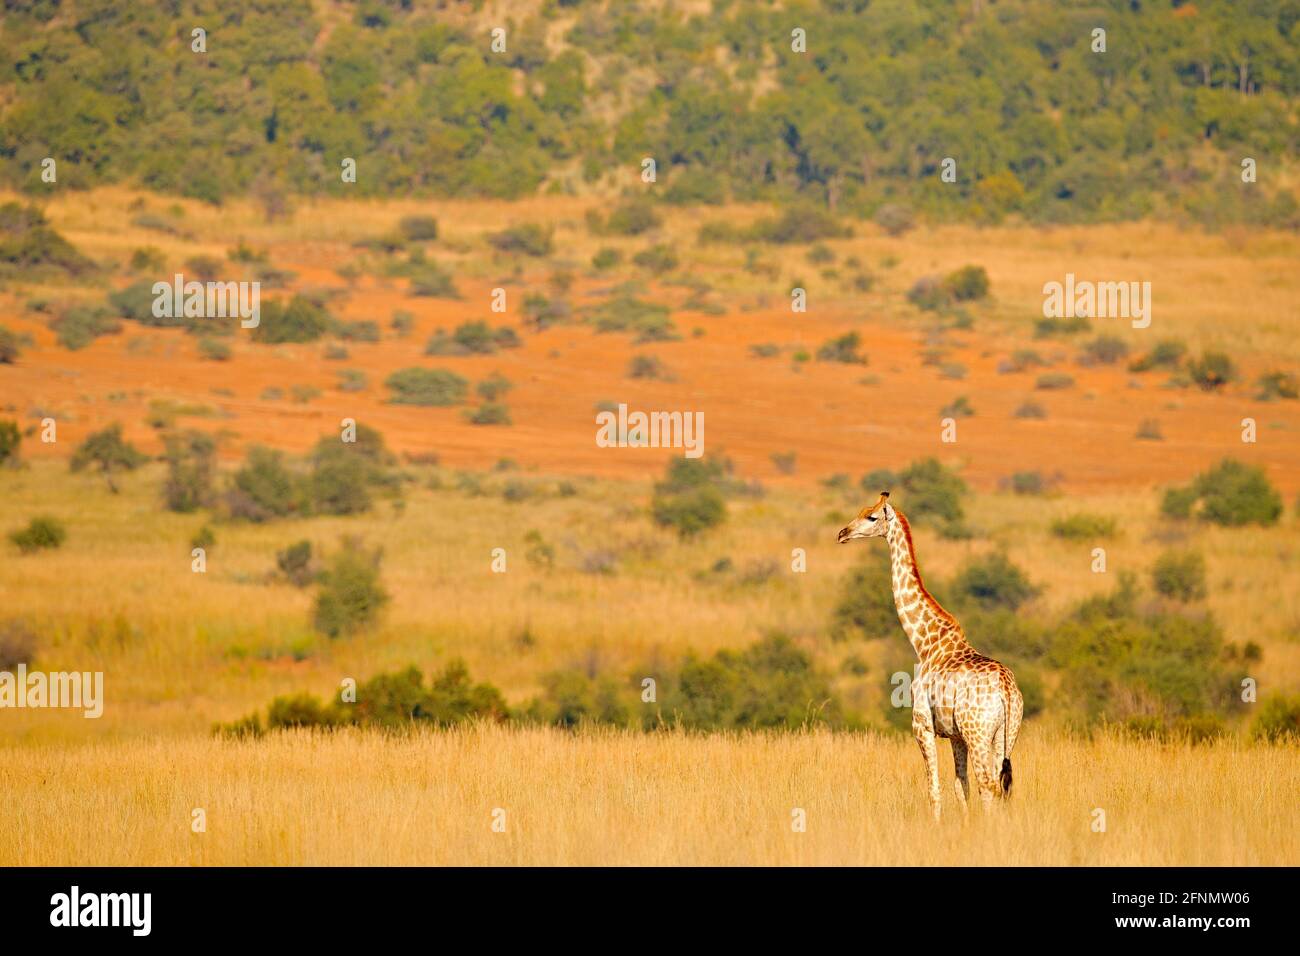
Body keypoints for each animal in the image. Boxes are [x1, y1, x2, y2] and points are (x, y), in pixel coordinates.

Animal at [838, 492, 1023, 820]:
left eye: (871, 517)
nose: (842, 533)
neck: (925, 642)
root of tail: (1006, 690)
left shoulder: (922, 725)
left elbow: (934, 789)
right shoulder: (956, 735)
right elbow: (960, 788)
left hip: (979, 734)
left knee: (988, 784)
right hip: (1004, 735)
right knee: (1000, 786)